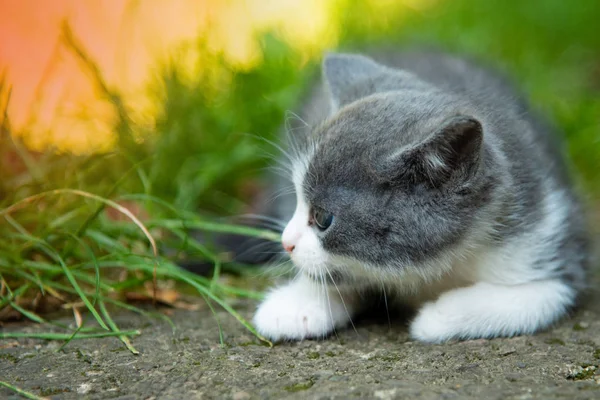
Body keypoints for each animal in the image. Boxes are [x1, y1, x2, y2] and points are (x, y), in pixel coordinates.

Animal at [251, 50, 588, 344]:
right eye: (296, 197)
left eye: (323, 218)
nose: (286, 242)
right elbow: (333, 275)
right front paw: (297, 305)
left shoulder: (552, 241)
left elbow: (536, 297)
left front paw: (439, 316)